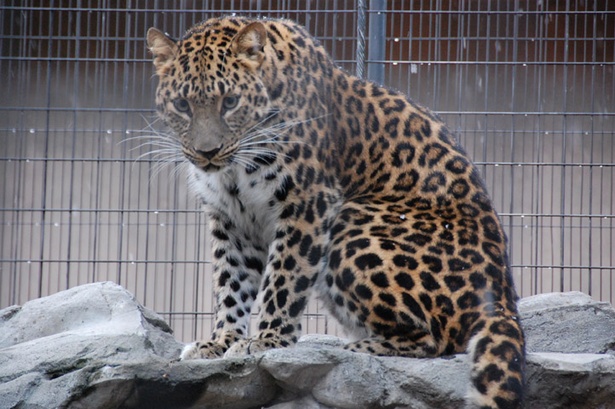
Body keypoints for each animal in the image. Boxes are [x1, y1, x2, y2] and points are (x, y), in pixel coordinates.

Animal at [147, 15, 528, 408]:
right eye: (182, 105)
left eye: (230, 101)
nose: (206, 152)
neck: (235, 168)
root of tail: (503, 297)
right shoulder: (231, 220)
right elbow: (231, 284)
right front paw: (220, 342)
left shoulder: (308, 200)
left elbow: (282, 279)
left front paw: (266, 341)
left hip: (352, 220)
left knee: (436, 338)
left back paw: (355, 351)